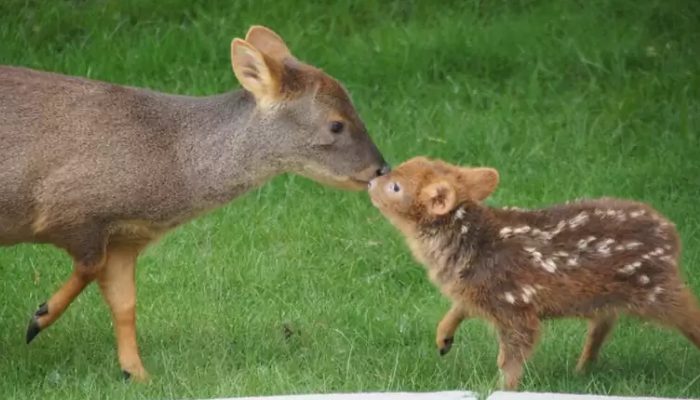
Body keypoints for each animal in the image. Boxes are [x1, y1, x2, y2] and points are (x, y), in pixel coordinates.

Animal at [0, 25, 388, 382]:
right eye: (336, 125)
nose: (381, 168)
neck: (171, 162)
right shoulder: (72, 208)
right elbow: (89, 267)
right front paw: (38, 319)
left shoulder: (127, 237)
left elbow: (125, 303)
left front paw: (138, 374)